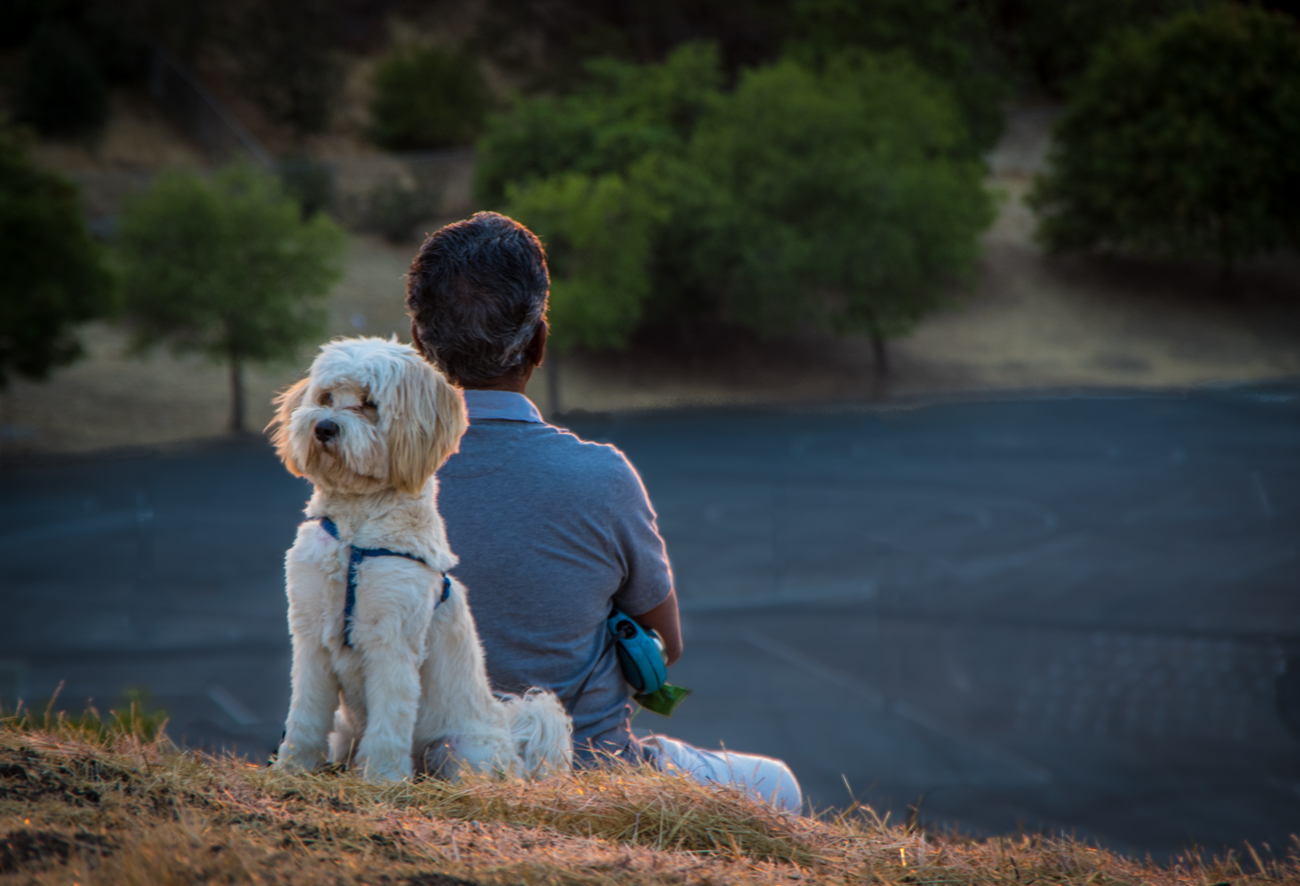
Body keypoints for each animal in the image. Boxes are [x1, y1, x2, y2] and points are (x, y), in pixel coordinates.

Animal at [263, 335, 569, 774]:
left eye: (369, 403)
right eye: (325, 397)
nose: (323, 426)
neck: (354, 533)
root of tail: (511, 741)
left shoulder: (392, 638)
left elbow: (390, 719)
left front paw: (382, 776)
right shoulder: (310, 634)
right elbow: (305, 713)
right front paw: (294, 767)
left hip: (462, 750)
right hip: (345, 731)